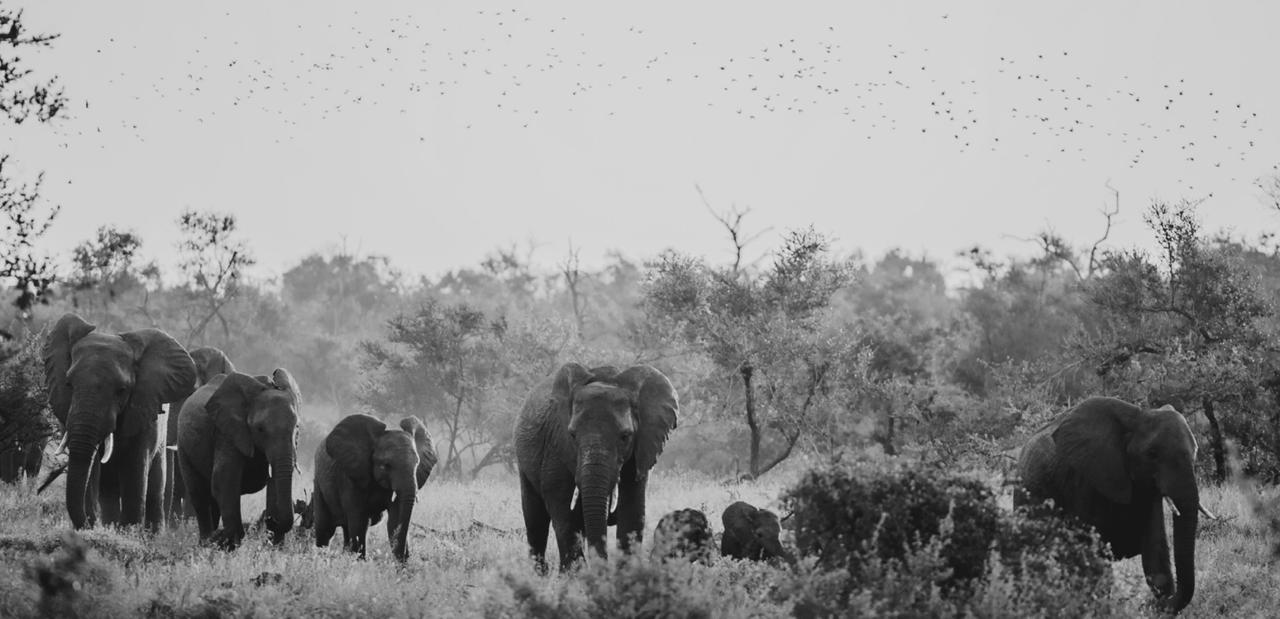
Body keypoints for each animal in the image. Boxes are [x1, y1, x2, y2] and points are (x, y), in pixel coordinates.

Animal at [43, 313, 197, 531]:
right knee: (109, 489)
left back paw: (150, 533)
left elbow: (135, 469)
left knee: (154, 487)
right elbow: (92, 470)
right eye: (68, 384)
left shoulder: (143, 410)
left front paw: (129, 532)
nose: (89, 524)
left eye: (122, 390)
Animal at [176, 369, 301, 549]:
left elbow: (275, 484)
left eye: (296, 427)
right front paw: (227, 543)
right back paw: (206, 542)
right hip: (183, 446)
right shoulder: (227, 432)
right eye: (260, 429)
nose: (270, 520)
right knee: (199, 494)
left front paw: (275, 548)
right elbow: (224, 479)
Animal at [313, 414, 437, 561]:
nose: (404, 559)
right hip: (318, 483)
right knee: (325, 529)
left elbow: (394, 519)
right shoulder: (350, 477)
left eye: (417, 464)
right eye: (386, 465)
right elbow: (358, 519)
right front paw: (359, 562)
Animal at [515, 363, 678, 571]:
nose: (603, 568)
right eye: (572, 435)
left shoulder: (641, 446)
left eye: (625, 436)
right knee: (536, 518)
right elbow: (560, 504)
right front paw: (575, 575)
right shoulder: (556, 444)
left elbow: (632, 507)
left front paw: (626, 574)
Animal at [1016, 396, 1206, 614]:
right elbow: (1092, 560)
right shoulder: (1082, 480)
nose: (1149, 604)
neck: (1139, 416)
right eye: (1152, 454)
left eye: (1196, 450)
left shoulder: (1149, 494)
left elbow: (1154, 551)